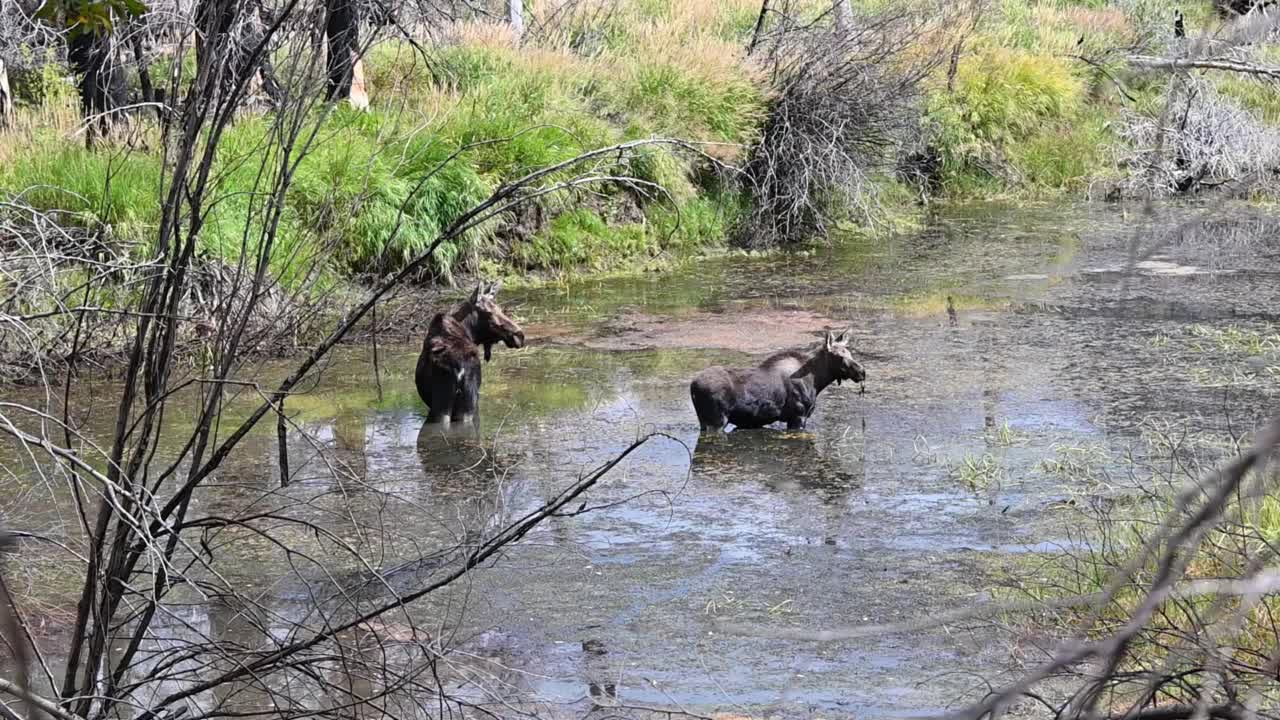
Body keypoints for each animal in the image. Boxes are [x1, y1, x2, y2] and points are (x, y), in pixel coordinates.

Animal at [696, 326, 865, 430]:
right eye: (839, 356)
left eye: (849, 352)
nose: (862, 372)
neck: (817, 381)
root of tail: (693, 386)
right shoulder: (798, 416)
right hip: (717, 421)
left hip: (705, 421)